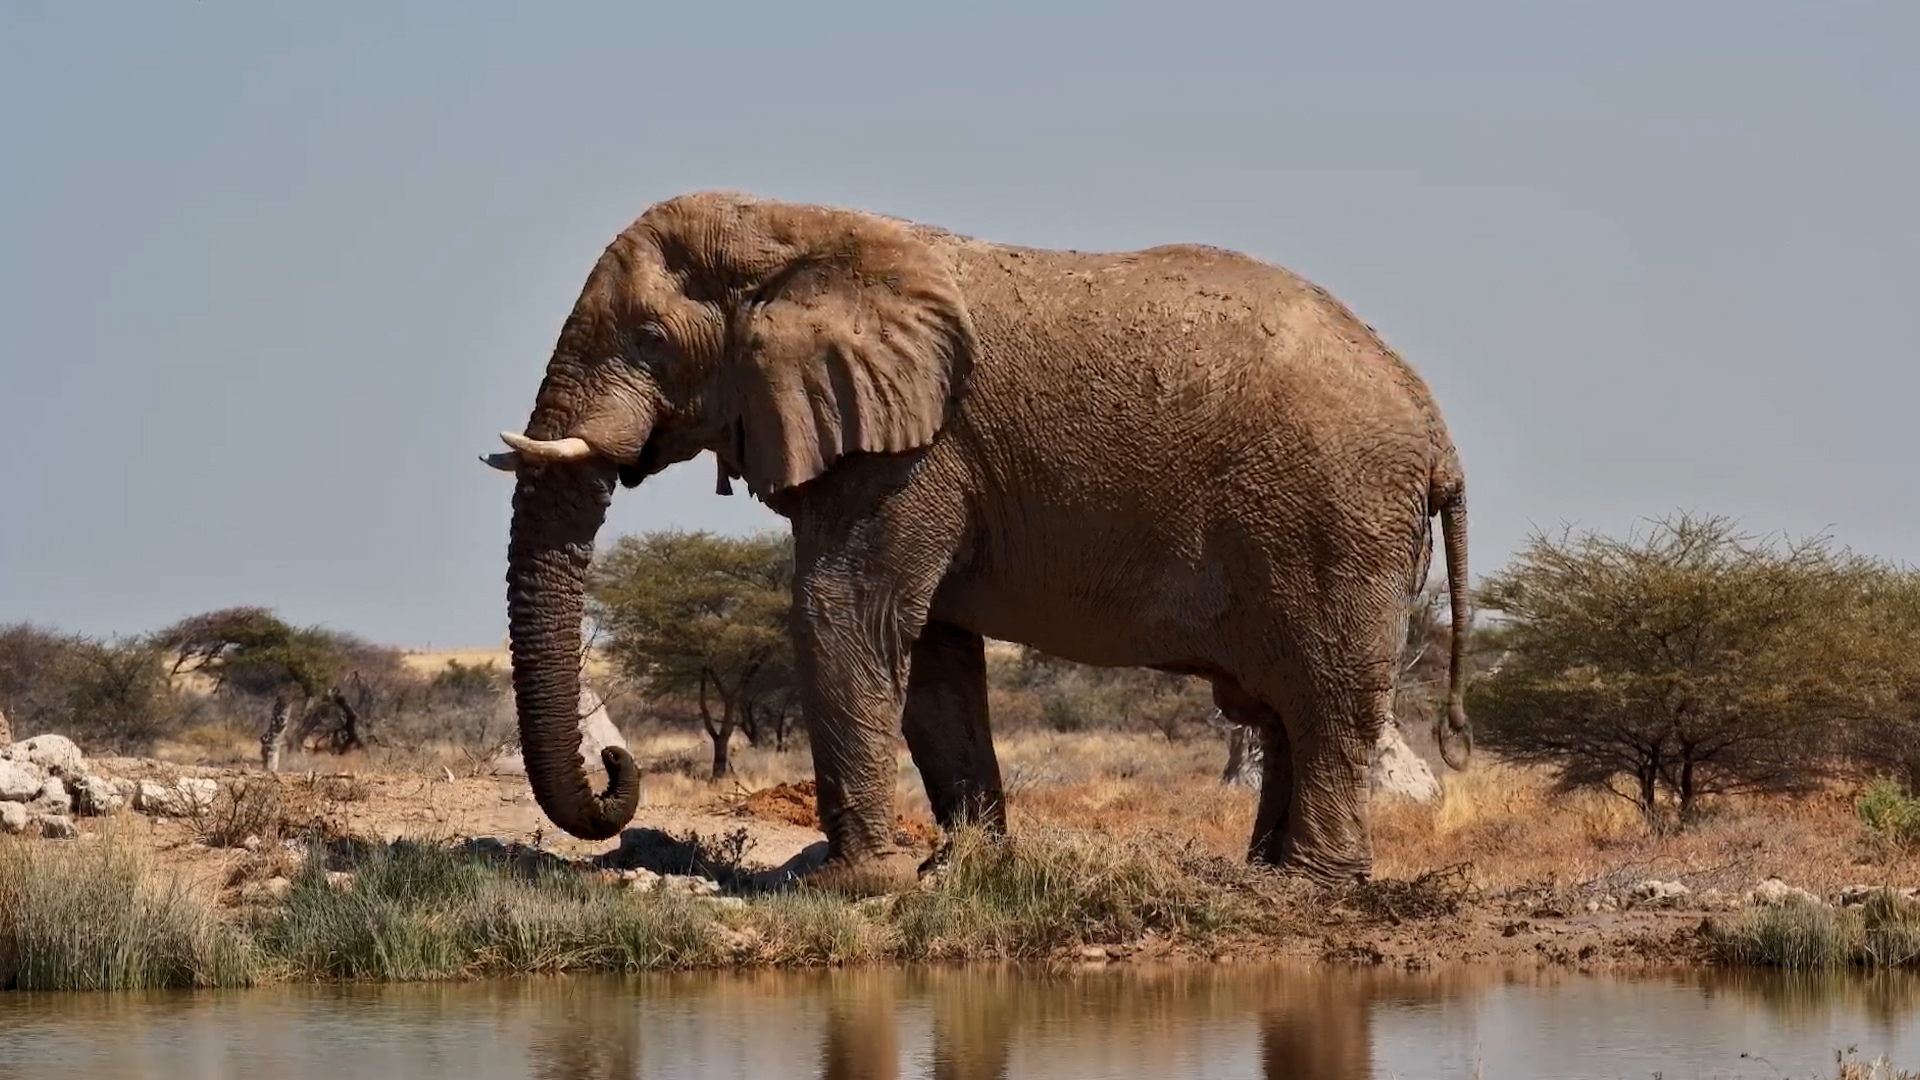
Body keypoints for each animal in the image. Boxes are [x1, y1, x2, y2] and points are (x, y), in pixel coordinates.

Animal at [481, 190, 1470, 886]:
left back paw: (1309, 887)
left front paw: (851, 886)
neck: (792, 228)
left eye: (649, 339)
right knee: (1278, 704)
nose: (615, 762)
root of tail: (1435, 428)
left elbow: (842, 614)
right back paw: (1263, 872)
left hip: (1338, 518)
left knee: (1326, 697)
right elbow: (931, 651)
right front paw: (962, 871)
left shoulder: (912, 451)